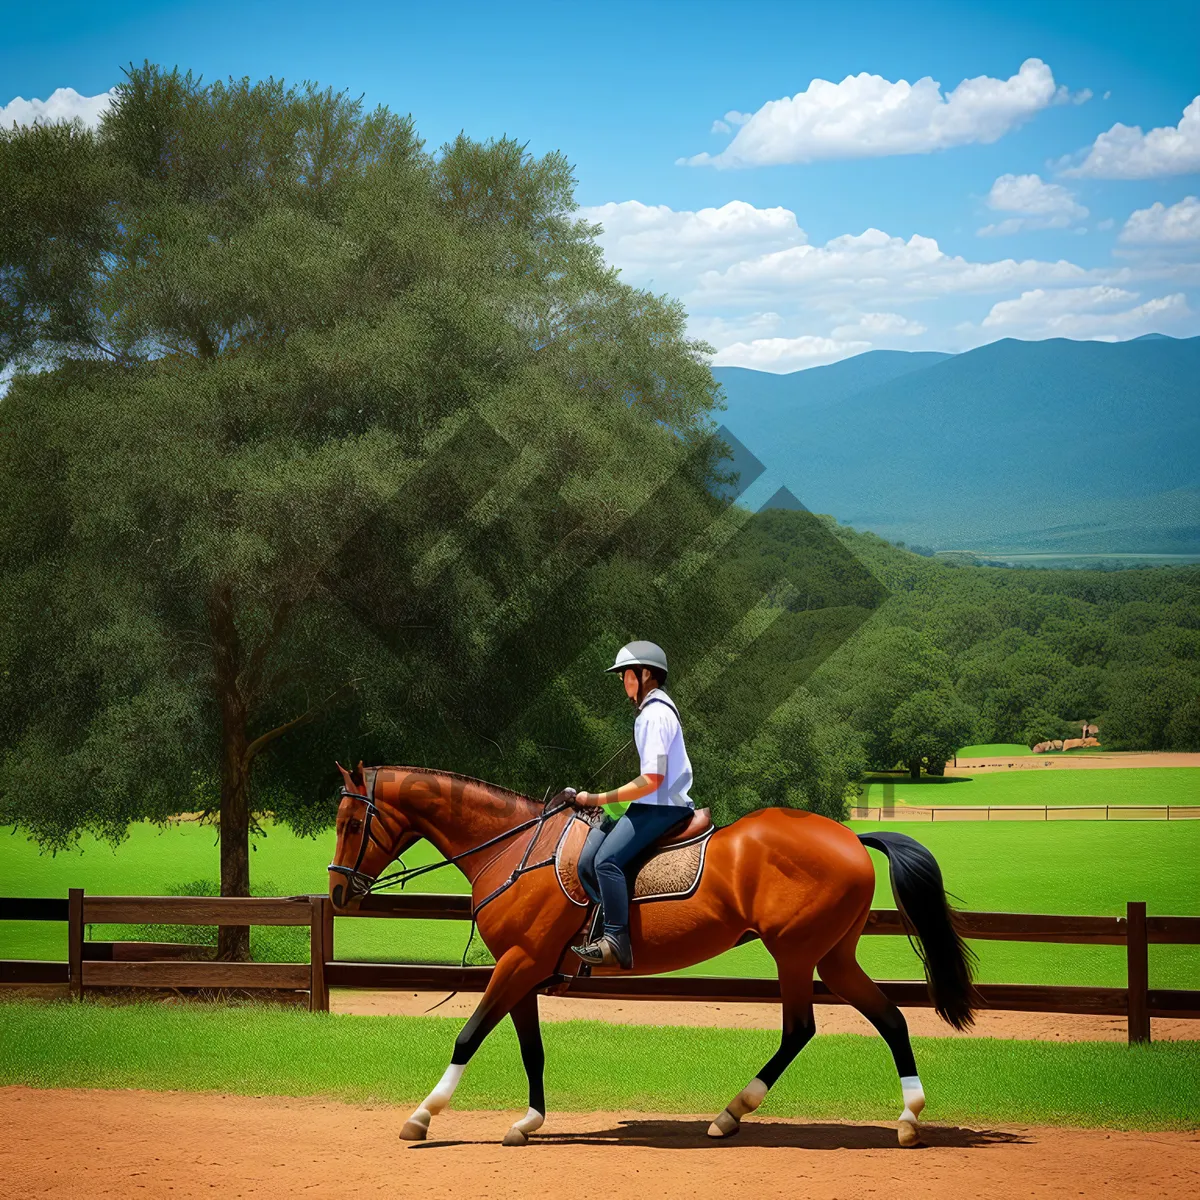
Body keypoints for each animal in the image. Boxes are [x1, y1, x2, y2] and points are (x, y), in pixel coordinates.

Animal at [328, 763, 974, 1147]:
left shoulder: (519, 962)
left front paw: (424, 1113)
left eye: (350, 821)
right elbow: (531, 1049)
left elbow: (469, 1034)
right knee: (888, 1017)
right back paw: (907, 1118)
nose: (337, 892)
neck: (516, 849)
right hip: (833, 955)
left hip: (795, 953)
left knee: (801, 1028)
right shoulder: (528, 969)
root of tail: (850, 837)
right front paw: (529, 1121)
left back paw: (734, 1112)